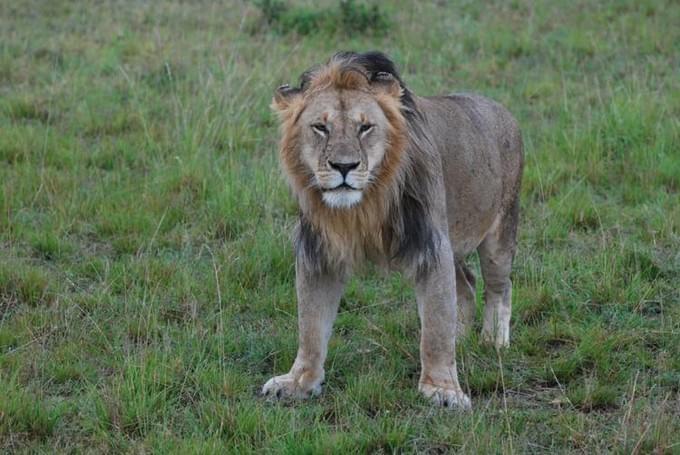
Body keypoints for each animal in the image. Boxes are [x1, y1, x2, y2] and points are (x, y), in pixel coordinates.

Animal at [262, 50, 524, 410]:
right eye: (320, 128)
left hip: (499, 232)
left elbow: (435, 327)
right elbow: (311, 327)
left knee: (499, 287)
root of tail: (501, 108)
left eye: (365, 128)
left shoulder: (431, 246)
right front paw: (299, 382)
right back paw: (461, 338)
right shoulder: (319, 253)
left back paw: (493, 341)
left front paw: (442, 390)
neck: (364, 206)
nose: (344, 166)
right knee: (467, 285)